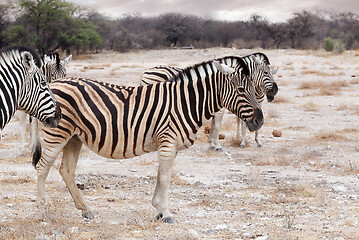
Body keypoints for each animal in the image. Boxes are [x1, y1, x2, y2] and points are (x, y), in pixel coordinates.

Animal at [33, 58, 264, 223]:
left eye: (254, 89)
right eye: (241, 90)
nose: (259, 121)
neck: (185, 103)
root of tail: (53, 83)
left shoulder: (169, 145)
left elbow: (160, 175)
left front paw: (158, 209)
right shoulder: (168, 141)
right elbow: (166, 178)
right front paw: (166, 213)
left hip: (74, 137)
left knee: (66, 170)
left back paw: (86, 210)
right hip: (58, 134)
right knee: (43, 167)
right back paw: (42, 211)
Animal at [140, 53, 278, 150]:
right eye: (266, 72)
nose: (275, 90)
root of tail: (146, 71)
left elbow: (216, 123)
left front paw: (212, 143)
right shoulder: (220, 109)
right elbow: (218, 125)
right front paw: (218, 145)